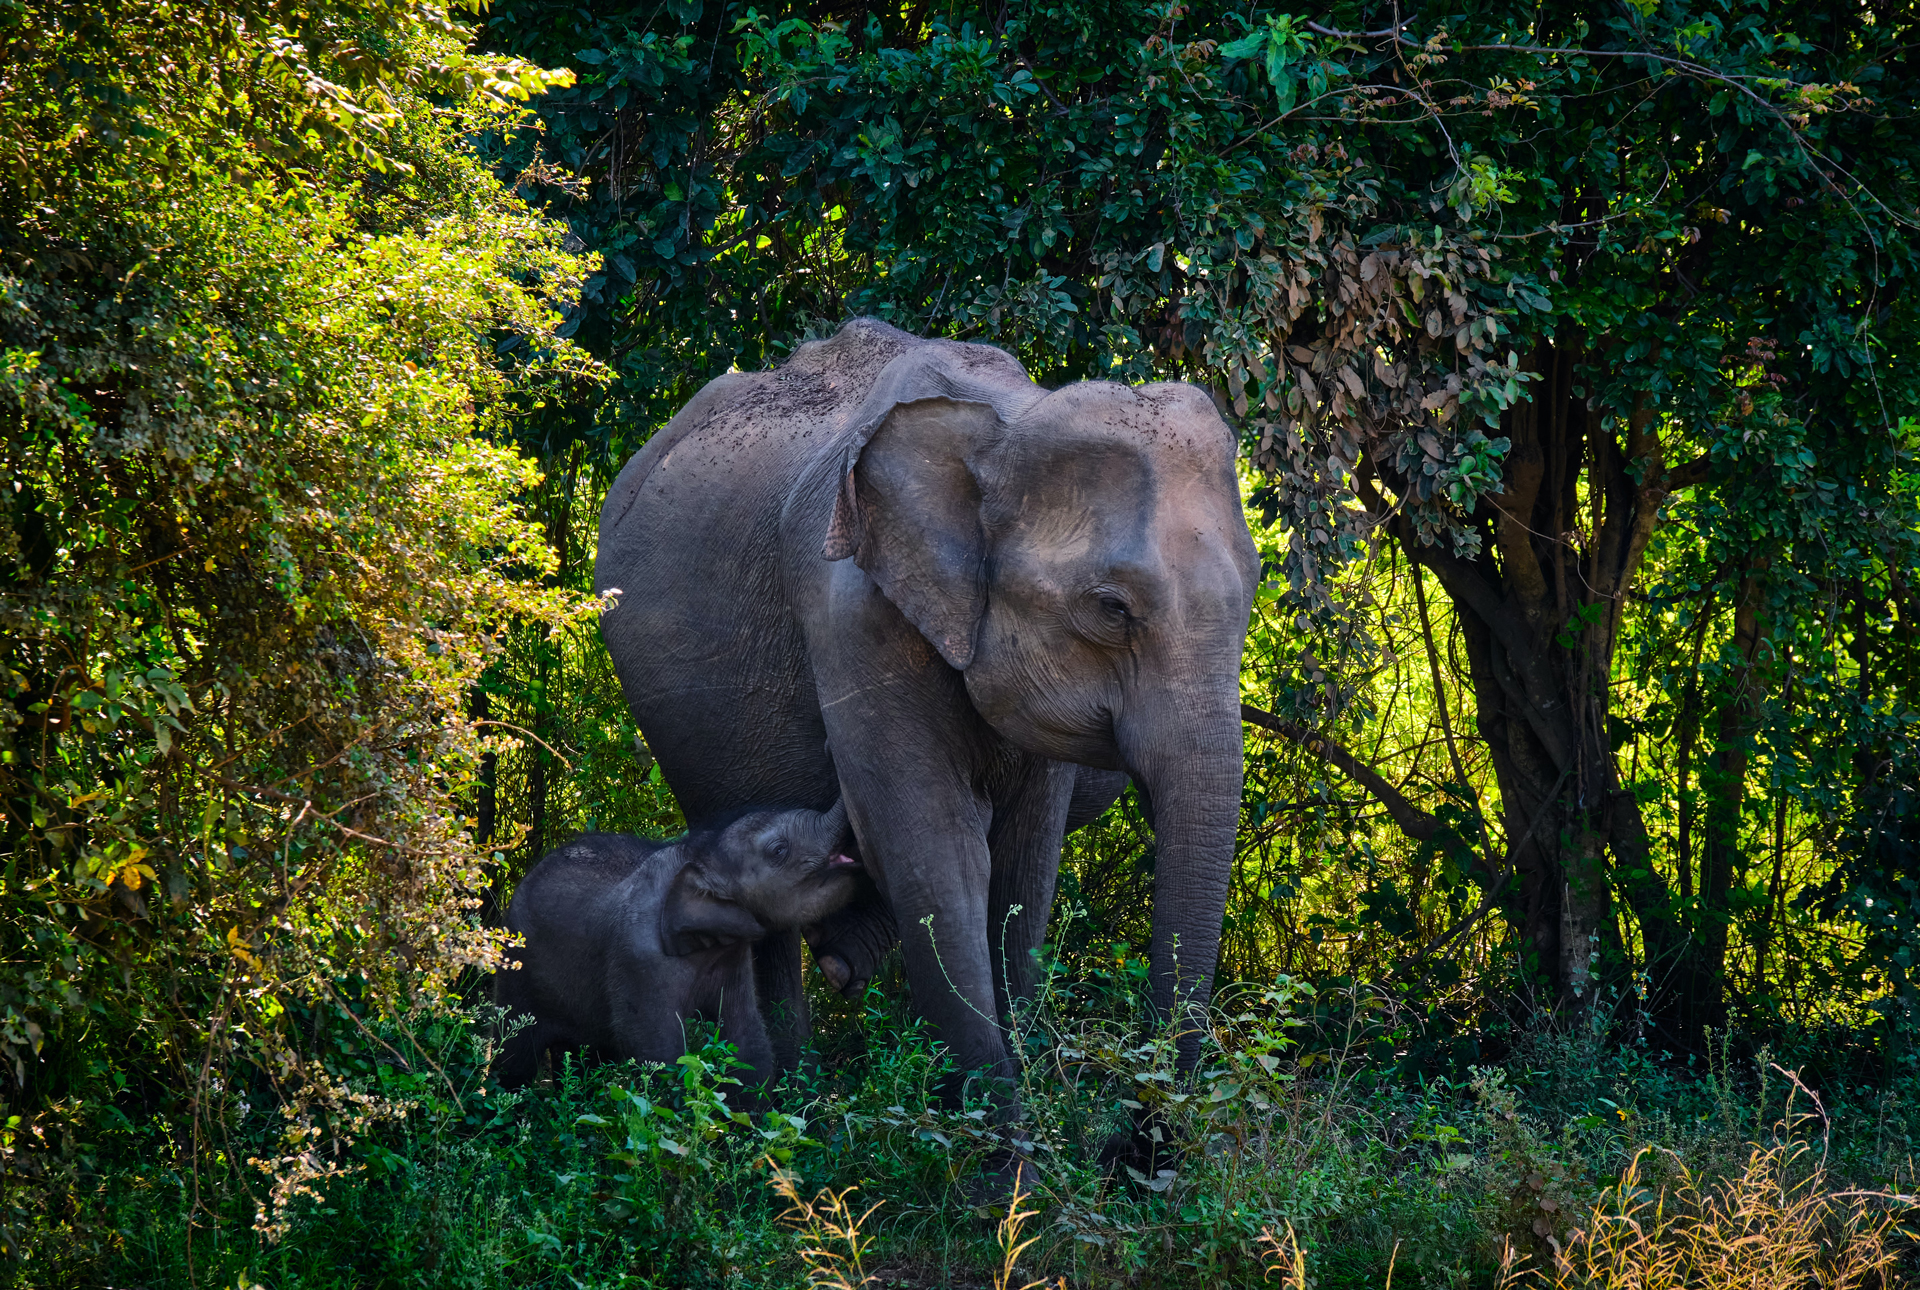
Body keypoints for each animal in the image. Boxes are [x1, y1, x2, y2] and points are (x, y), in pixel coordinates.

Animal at [492, 801, 859, 1090]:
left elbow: (747, 1041)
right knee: (514, 1059)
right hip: (516, 970)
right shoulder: (638, 960)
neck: (699, 857)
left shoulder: (732, 957)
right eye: (779, 850)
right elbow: (659, 1051)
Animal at [594, 318, 1259, 1100]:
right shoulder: (853, 613)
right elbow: (936, 849)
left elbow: (1023, 863)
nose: (1148, 1123)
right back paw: (786, 1090)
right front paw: (998, 1124)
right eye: (1112, 608)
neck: (1006, 421)